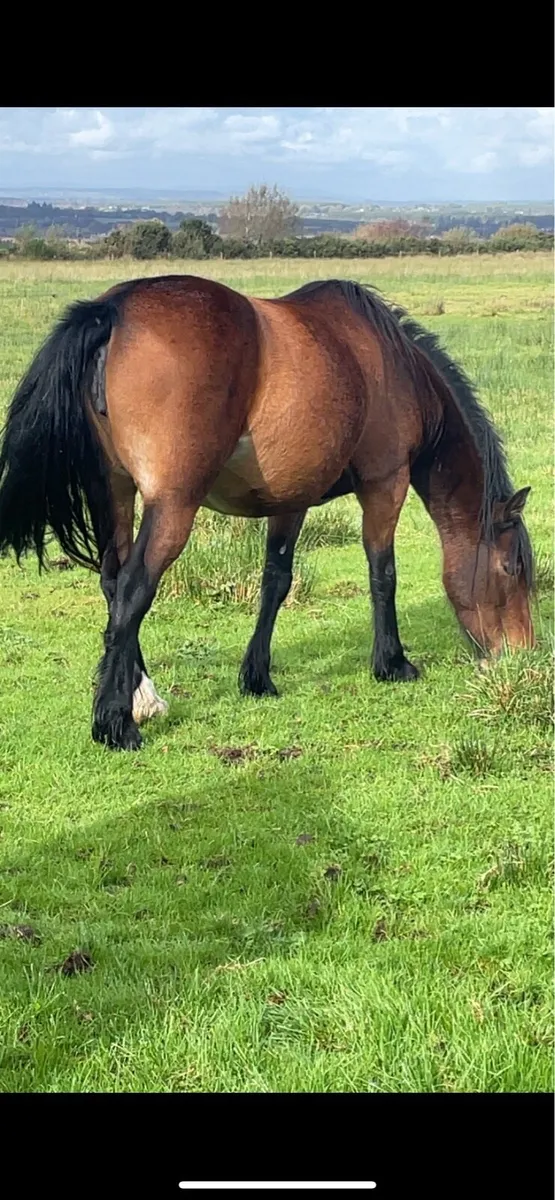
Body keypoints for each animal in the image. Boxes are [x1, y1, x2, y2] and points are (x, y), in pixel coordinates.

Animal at [0, 274, 535, 751]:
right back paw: (117, 723)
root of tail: (113, 310)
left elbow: (275, 581)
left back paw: (143, 698)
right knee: (133, 590)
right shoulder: (385, 483)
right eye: (511, 568)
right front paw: (393, 662)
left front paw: (257, 676)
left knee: (113, 583)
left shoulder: (291, 500)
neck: (393, 365)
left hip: (116, 490)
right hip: (172, 505)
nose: (523, 655)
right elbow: (383, 573)